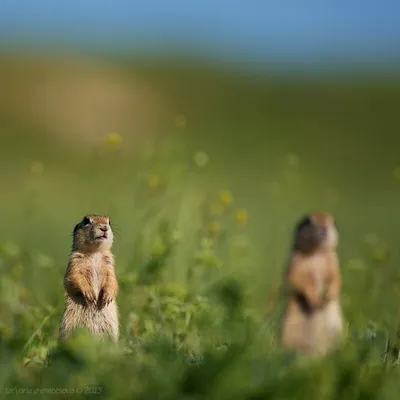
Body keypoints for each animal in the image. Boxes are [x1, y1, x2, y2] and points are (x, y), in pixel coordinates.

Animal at [58, 214, 119, 342]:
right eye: (86, 220)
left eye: (109, 222)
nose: (104, 227)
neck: (94, 252)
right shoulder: (74, 262)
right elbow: (74, 277)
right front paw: (90, 295)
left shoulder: (110, 264)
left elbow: (112, 280)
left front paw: (107, 296)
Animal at [278, 212, 344, 356]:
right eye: (308, 220)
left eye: (331, 221)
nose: (324, 228)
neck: (316, 252)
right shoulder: (295, 263)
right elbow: (299, 280)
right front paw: (314, 300)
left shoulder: (333, 261)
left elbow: (335, 277)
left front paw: (329, 295)